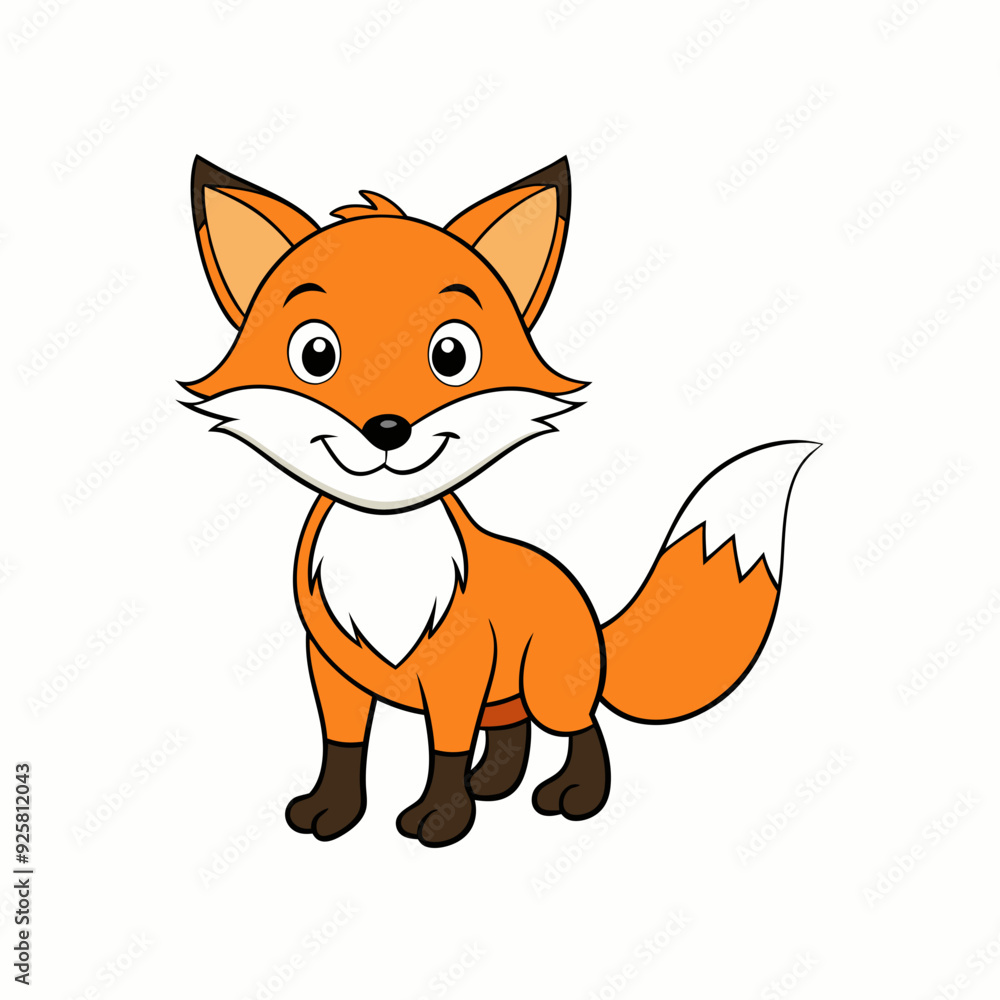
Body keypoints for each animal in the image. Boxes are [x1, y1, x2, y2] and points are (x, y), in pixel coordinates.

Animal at [184, 154, 817, 847]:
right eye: (315, 354)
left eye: (451, 354)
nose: (387, 428)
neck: (387, 550)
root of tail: (590, 612)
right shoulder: (332, 666)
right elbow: (343, 746)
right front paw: (335, 811)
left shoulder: (457, 668)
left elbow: (445, 750)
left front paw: (441, 819)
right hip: (507, 691)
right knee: (513, 730)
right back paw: (493, 784)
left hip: (547, 682)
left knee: (581, 728)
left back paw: (573, 796)